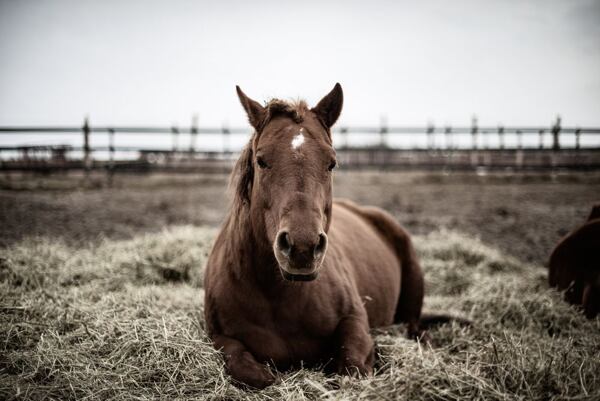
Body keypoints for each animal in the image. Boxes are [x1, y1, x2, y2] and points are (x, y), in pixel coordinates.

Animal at [206, 84, 454, 388]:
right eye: (261, 161)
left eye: (332, 163)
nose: (302, 247)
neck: (280, 296)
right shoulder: (219, 337)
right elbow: (248, 369)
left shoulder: (355, 323)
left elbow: (352, 368)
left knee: (414, 326)